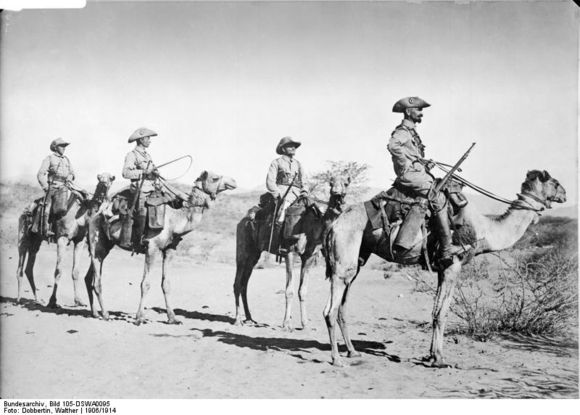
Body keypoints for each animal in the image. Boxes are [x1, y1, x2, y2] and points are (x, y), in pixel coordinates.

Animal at [16, 173, 116, 307]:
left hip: (36, 242)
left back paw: (37, 300)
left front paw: (78, 300)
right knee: (20, 267)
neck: (81, 213)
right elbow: (58, 270)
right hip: (23, 238)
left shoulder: (79, 241)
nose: (104, 184)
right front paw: (52, 301)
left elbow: (75, 271)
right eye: (99, 179)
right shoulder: (62, 238)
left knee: (28, 268)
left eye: (111, 178)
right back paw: (18, 299)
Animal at [85, 171, 237, 324]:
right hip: (97, 243)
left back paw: (95, 313)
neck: (175, 220)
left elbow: (166, 284)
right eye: (215, 178)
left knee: (89, 277)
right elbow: (145, 284)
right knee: (97, 281)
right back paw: (105, 314)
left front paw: (173, 318)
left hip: (103, 247)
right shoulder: (152, 248)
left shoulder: (169, 250)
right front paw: (139, 317)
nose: (234, 181)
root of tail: (96, 214)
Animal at [233, 175, 350, 330]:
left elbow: (303, 290)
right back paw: (238, 320)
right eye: (331, 183)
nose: (337, 195)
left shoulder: (309, 257)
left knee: (244, 284)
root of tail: (243, 220)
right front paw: (287, 324)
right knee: (237, 283)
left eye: (346, 183)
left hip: (254, 254)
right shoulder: (289, 252)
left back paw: (249, 318)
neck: (310, 225)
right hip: (243, 249)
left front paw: (305, 323)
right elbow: (289, 290)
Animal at [323, 170, 566, 367]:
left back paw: (352, 352)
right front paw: (440, 360)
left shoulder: (442, 268)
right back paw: (336, 359)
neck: (485, 230)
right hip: (344, 257)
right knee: (330, 308)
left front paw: (431, 356)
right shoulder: (453, 266)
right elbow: (442, 314)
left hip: (359, 258)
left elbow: (435, 312)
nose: (564, 194)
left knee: (343, 304)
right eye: (554, 182)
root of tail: (334, 224)